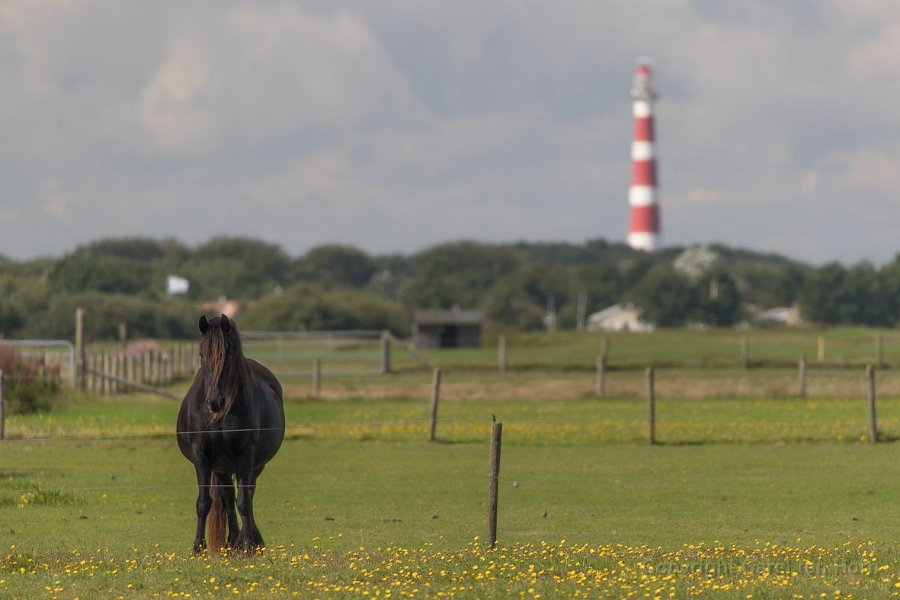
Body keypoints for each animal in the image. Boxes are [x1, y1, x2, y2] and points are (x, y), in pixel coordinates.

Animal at [177, 316, 284, 556]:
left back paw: (249, 540)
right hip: (222, 466)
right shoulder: (201, 454)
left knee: (248, 494)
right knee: (226, 496)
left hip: (254, 465)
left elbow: (243, 501)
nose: (215, 401)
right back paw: (232, 541)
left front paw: (248, 544)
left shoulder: (245, 454)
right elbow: (204, 502)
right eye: (202, 354)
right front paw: (198, 547)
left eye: (228, 354)